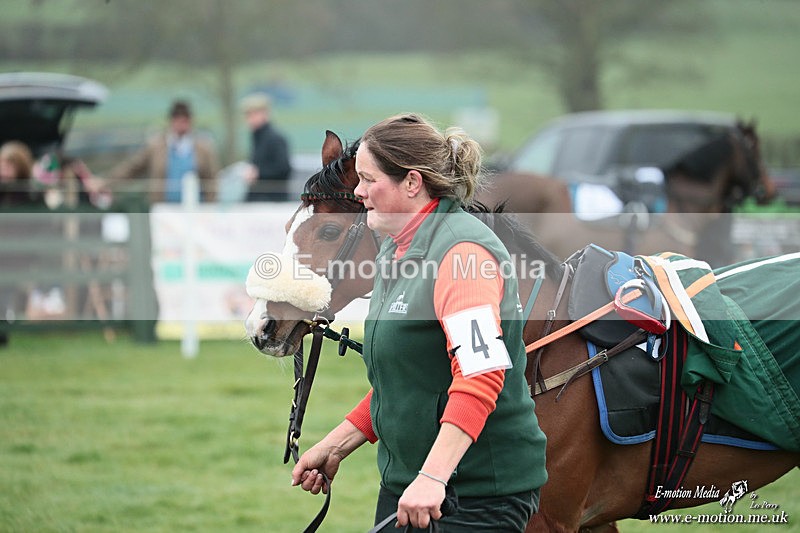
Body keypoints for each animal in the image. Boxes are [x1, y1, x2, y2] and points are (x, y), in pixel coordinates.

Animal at [245, 131, 798, 532]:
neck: (544, 352)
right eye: (290, 225)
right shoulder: (589, 521)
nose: (261, 326)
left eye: (328, 230)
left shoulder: (551, 518)